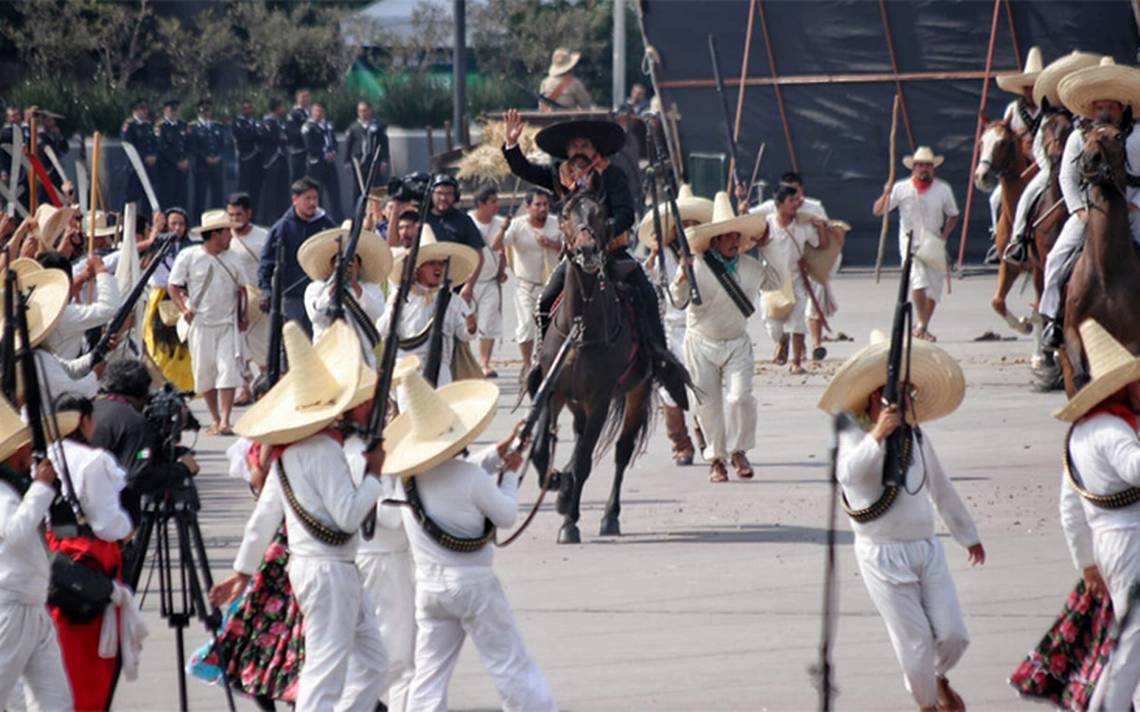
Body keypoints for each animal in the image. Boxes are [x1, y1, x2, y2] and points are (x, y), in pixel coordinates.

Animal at [524, 189, 652, 544]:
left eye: (599, 214)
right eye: (566, 214)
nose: (587, 251)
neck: (580, 327)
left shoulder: (601, 399)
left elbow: (584, 461)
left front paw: (568, 514)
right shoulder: (552, 391)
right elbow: (541, 451)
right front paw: (557, 482)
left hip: (637, 392)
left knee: (622, 451)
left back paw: (609, 515)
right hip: (575, 402)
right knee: (580, 436)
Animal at [975, 118, 1039, 332]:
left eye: (1003, 142)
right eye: (981, 141)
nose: (981, 176)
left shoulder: (1039, 267)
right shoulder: (1009, 264)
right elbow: (997, 302)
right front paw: (1023, 325)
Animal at [1057, 123, 1140, 394]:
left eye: (1118, 136)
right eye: (1085, 136)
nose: (1089, 159)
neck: (1105, 272)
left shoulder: (1132, 341)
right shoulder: (1073, 330)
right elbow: (1082, 377)